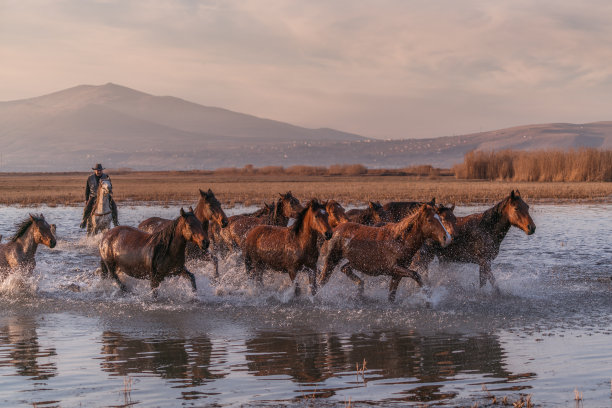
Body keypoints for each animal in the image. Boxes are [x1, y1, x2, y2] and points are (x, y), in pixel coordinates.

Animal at [318, 203, 452, 302]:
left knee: (345, 269)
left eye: (440, 219)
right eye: (429, 220)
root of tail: (334, 230)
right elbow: (416, 275)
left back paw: (360, 291)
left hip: (355, 262)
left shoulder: (397, 274)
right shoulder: (394, 268)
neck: (399, 241)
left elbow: (391, 296)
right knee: (321, 282)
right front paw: (428, 299)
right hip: (331, 261)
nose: (447, 238)